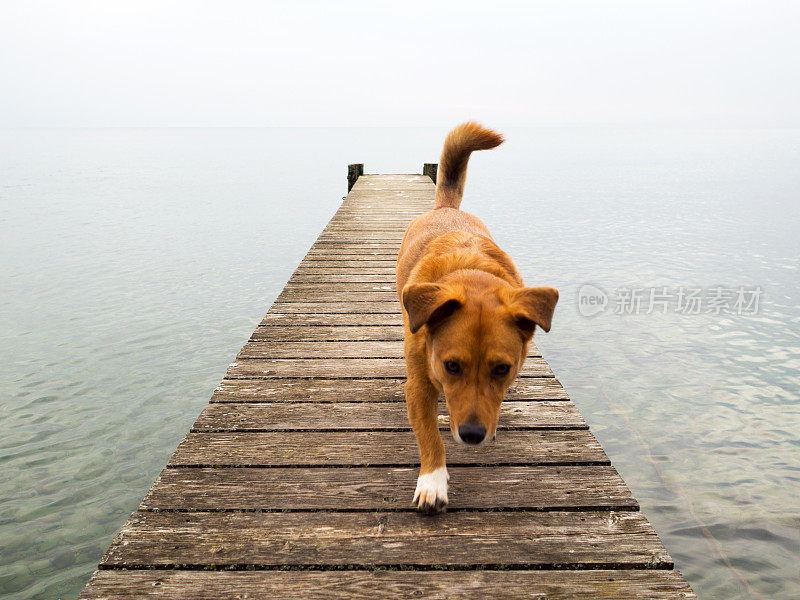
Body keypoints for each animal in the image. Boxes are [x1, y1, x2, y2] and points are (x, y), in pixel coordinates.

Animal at [396, 122, 560, 510]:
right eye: (451, 366)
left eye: (502, 369)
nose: (472, 434)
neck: (472, 277)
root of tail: (445, 207)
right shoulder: (418, 385)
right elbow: (428, 434)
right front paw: (432, 481)